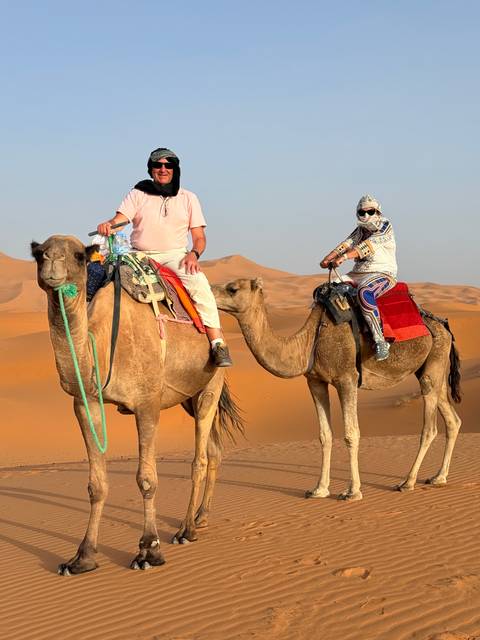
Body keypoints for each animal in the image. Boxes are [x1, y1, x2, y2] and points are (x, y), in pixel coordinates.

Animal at [31, 235, 243, 575]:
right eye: (38, 254)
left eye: (79, 256)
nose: (52, 264)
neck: (104, 344)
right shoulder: (86, 404)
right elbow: (96, 484)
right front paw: (82, 557)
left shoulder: (147, 404)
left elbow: (147, 479)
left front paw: (148, 550)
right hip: (189, 397)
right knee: (214, 450)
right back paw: (202, 517)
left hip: (212, 382)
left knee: (199, 458)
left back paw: (186, 530)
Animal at [212, 278, 462, 501]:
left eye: (233, 288)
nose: (209, 290)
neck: (309, 341)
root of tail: (444, 326)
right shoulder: (315, 381)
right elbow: (325, 435)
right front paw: (319, 489)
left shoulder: (347, 378)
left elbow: (351, 433)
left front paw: (352, 491)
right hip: (431, 368)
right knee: (452, 418)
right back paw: (439, 477)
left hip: (434, 361)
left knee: (429, 428)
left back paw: (408, 482)